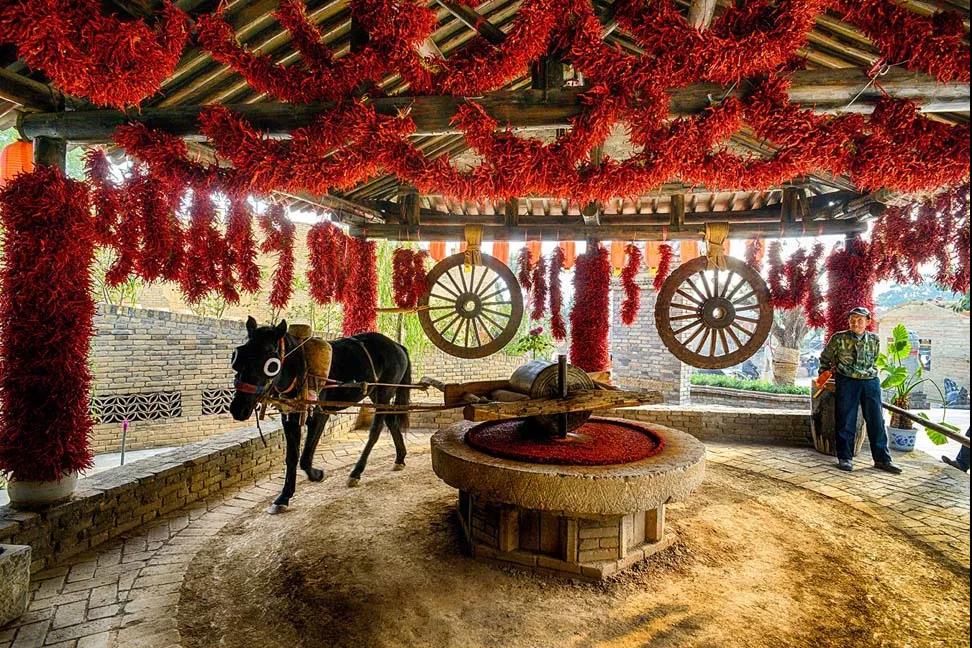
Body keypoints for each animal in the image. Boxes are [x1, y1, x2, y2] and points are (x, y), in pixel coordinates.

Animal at [229, 317, 412, 514]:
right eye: (238, 356)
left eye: (271, 364)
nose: (238, 408)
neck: (300, 367)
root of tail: (397, 345)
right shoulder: (290, 416)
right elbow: (292, 458)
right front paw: (283, 497)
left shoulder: (319, 415)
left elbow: (305, 458)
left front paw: (317, 474)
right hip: (375, 393)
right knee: (391, 421)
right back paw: (400, 458)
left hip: (384, 391)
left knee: (376, 429)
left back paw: (356, 472)